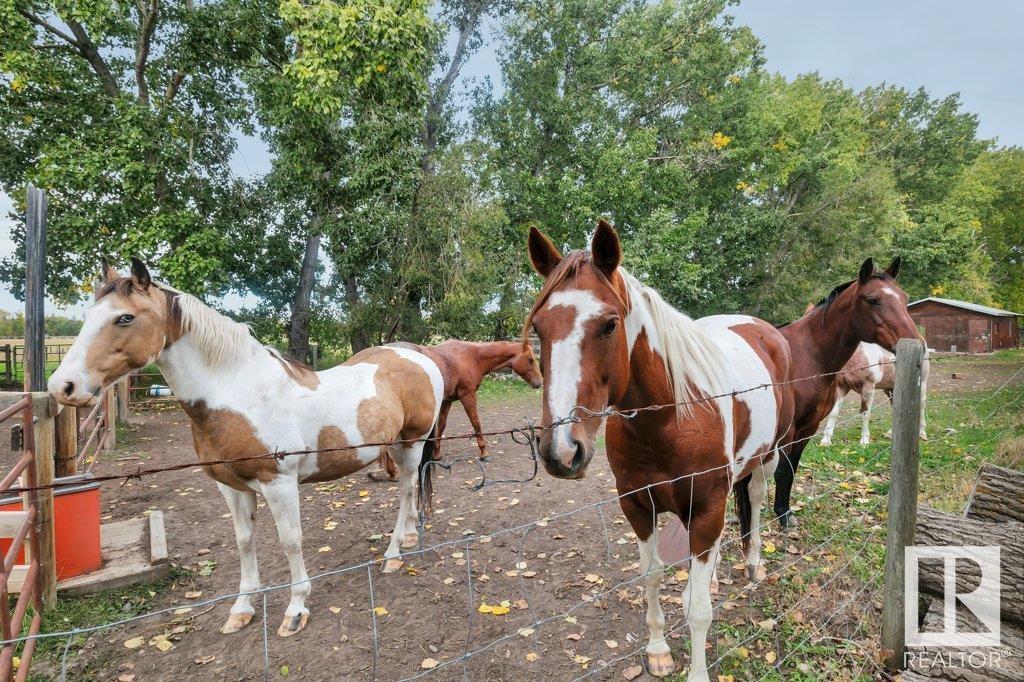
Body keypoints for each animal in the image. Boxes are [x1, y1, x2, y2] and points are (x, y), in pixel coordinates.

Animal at [48, 259, 442, 638]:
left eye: (125, 317)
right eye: (87, 315)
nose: (62, 387)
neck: (239, 395)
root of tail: (418, 357)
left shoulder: (278, 482)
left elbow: (290, 540)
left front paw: (296, 610)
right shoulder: (230, 486)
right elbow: (244, 540)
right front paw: (242, 608)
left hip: (413, 442)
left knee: (406, 490)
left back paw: (393, 554)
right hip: (396, 444)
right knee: (409, 490)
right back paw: (408, 538)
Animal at [368, 337, 544, 477]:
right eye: (530, 359)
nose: (539, 382)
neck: (471, 357)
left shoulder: (447, 401)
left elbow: (441, 427)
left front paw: (437, 454)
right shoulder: (468, 396)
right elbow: (476, 423)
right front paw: (484, 453)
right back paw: (391, 472)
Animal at [524, 220, 794, 675]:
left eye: (609, 325)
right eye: (540, 329)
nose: (561, 450)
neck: (668, 417)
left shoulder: (705, 506)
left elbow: (699, 611)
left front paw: (698, 672)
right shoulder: (638, 506)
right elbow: (651, 575)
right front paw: (658, 650)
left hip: (767, 456)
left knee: (756, 498)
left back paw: (754, 563)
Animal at [770, 256, 925, 524]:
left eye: (904, 298)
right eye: (873, 300)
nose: (918, 343)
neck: (804, 356)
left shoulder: (807, 427)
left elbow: (791, 469)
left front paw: (786, 511)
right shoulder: (787, 430)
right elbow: (781, 471)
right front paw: (782, 516)